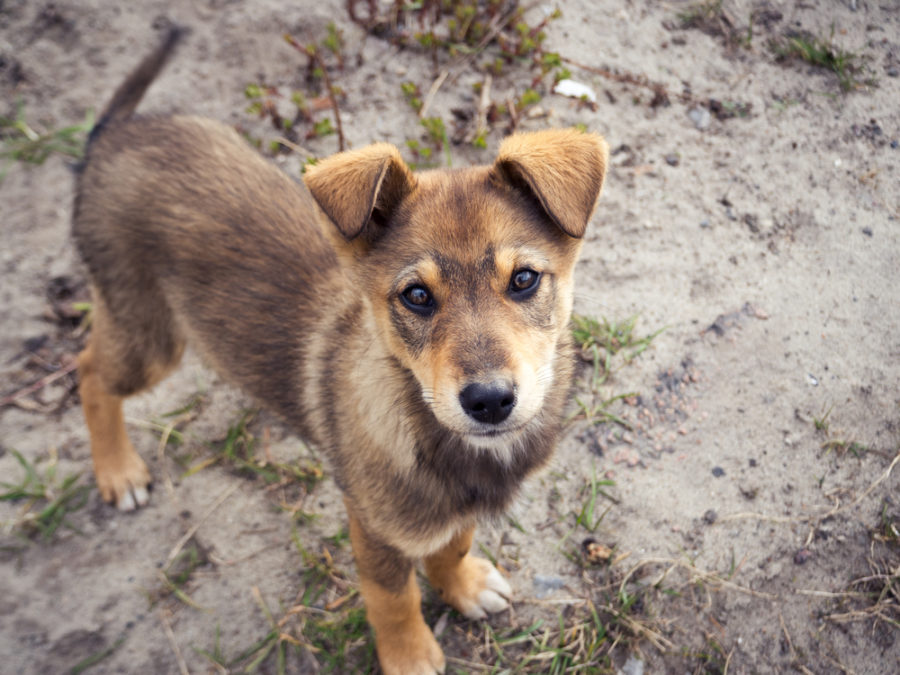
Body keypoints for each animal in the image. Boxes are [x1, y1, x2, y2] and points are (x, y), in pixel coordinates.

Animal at [75, 29, 612, 672]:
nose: (488, 402)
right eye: (416, 296)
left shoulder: (446, 511)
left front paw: (461, 586)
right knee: (88, 370)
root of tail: (113, 135)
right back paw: (118, 471)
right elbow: (394, 598)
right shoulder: (374, 525)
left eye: (525, 279)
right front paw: (409, 654)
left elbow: (452, 543)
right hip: (149, 337)